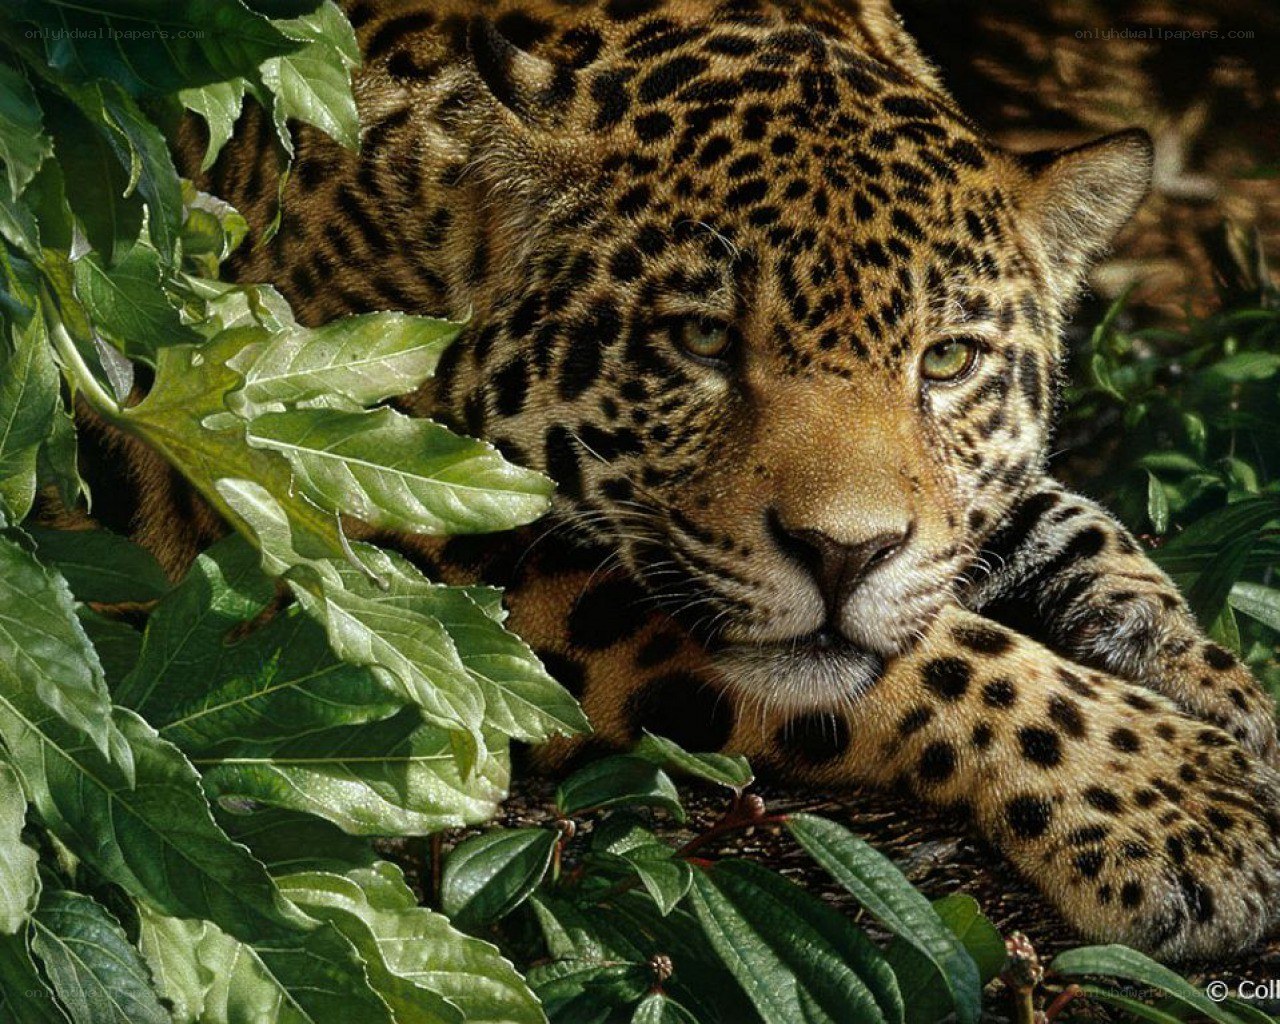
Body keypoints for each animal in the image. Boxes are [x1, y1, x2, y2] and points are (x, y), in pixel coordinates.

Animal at [80, 0, 1280, 962]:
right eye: (702, 341)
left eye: (945, 362)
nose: (843, 555)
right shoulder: (370, 524)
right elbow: (940, 656)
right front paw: (1177, 805)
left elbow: (1072, 529)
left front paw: (1219, 688)